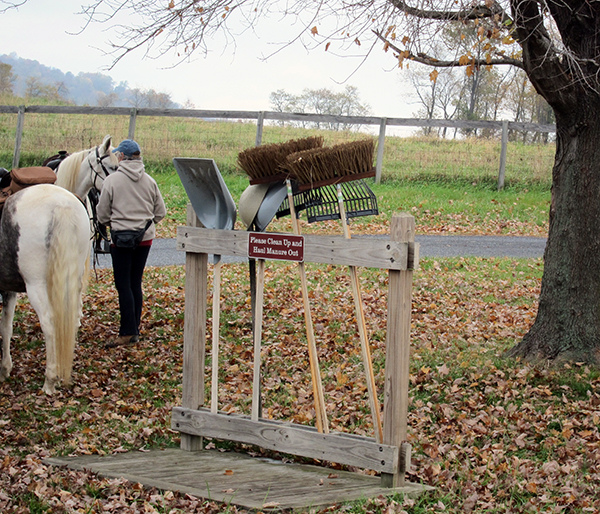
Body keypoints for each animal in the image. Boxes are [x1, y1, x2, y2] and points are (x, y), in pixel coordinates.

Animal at [0, 135, 118, 392]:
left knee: (50, 321)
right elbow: (6, 325)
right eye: (112, 167)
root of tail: (61, 206)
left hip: (37, 284)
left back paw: (50, 379)